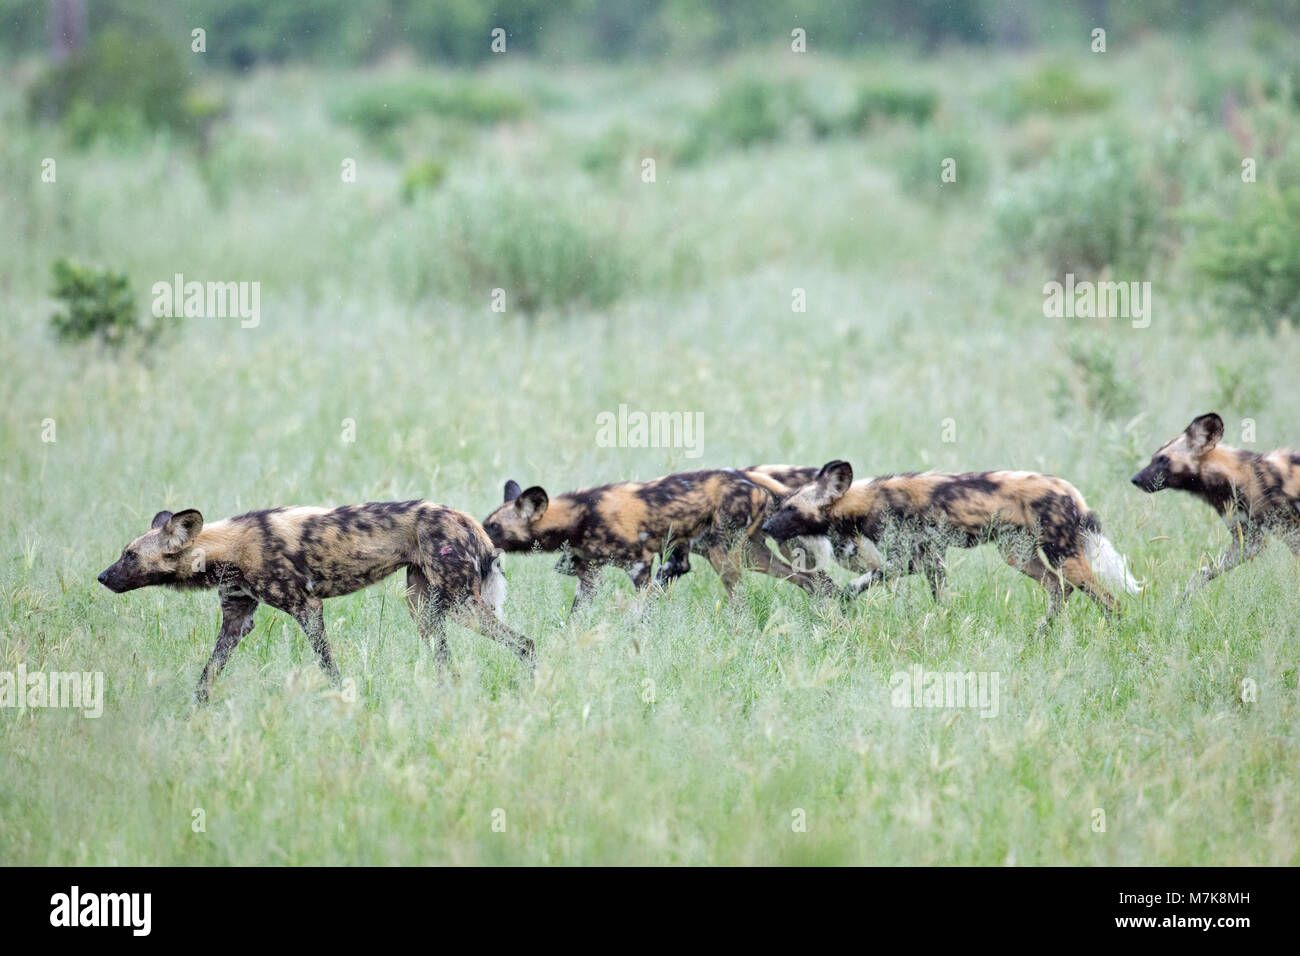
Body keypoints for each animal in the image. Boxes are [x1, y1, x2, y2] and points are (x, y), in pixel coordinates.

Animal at [94, 502, 533, 702]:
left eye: (129, 556)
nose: (101, 577)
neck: (226, 548)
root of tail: (468, 520)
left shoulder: (307, 609)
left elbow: (328, 666)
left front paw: (343, 700)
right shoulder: (236, 621)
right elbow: (207, 675)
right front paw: (193, 713)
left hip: (460, 605)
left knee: (525, 643)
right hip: (424, 609)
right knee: (448, 660)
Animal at [478, 470, 821, 613]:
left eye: (493, 526)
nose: (477, 536)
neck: (581, 515)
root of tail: (755, 482)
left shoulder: (640, 565)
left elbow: (642, 609)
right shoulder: (589, 577)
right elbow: (577, 617)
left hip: (724, 556)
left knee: (742, 602)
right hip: (751, 556)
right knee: (814, 580)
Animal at [759, 457, 1138, 624]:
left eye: (790, 508)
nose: (764, 527)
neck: (865, 500)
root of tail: (1070, 491)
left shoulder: (906, 560)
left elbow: (862, 581)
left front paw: (845, 596)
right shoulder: (931, 559)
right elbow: (941, 599)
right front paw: (946, 624)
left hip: (1063, 556)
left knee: (1110, 600)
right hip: (1018, 555)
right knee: (1057, 588)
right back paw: (1043, 632)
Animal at [1128, 413, 1300, 598]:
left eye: (1164, 459)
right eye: (1154, 458)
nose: (1135, 479)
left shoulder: (1291, 533)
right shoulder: (1248, 541)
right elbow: (1200, 574)